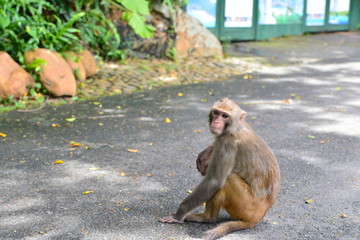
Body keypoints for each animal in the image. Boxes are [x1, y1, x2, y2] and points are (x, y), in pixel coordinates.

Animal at [159, 98, 280, 240]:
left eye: (225, 116)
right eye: (216, 113)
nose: (216, 121)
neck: (235, 127)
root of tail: (260, 215)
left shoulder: (227, 143)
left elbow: (214, 181)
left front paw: (178, 215)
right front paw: (206, 152)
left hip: (246, 207)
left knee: (227, 179)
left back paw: (208, 218)